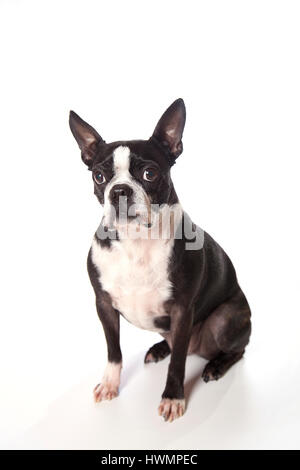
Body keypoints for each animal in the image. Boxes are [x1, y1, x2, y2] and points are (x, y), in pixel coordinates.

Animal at [68, 99, 251, 422]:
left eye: (150, 174)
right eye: (99, 176)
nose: (119, 191)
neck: (136, 242)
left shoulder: (182, 311)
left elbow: (177, 363)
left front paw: (173, 397)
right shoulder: (104, 304)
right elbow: (113, 350)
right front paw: (110, 383)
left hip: (226, 318)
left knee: (235, 350)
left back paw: (215, 365)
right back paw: (158, 348)